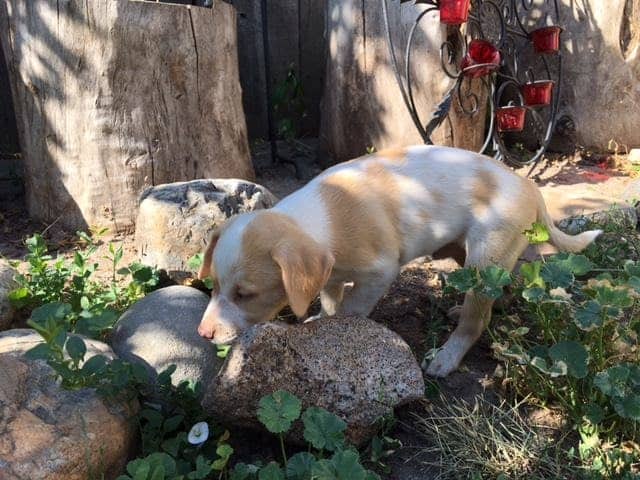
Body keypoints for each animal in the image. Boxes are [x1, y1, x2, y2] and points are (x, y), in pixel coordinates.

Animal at [195, 144, 600, 376]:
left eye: (246, 294)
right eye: (213, 286)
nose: (203, 334)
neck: (312, 221)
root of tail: (528, 185)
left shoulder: (378, 272)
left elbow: (350, 311)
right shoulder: (330, 275)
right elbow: (330, 302)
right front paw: (321, 319)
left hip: (485, 256)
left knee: (477, 319)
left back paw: (447, 357)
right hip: (476, 256)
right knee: (504, 286)